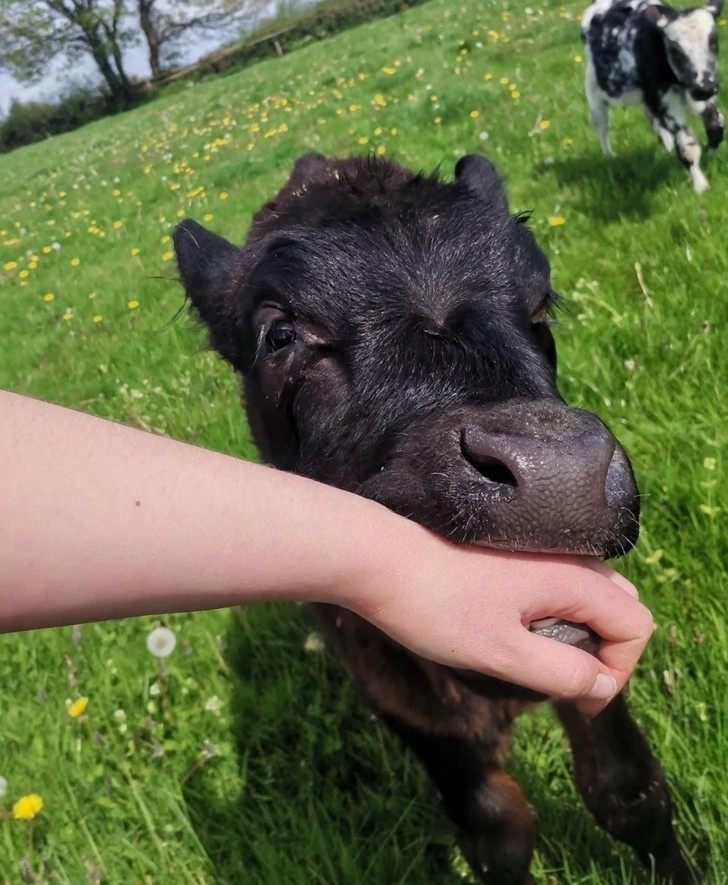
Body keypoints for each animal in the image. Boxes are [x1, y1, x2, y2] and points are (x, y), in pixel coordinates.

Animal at [584, 0, 724, 193]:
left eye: (713, 42)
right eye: (675, 50)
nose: (703, 88)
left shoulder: (705, 96)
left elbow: (716, 129)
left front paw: (709, 157)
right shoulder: (665, 104)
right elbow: (688, 147)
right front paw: (700, 186)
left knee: (653, 120)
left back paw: (667, 144)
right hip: (595, 94)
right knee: (602, 127)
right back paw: (609, 156)